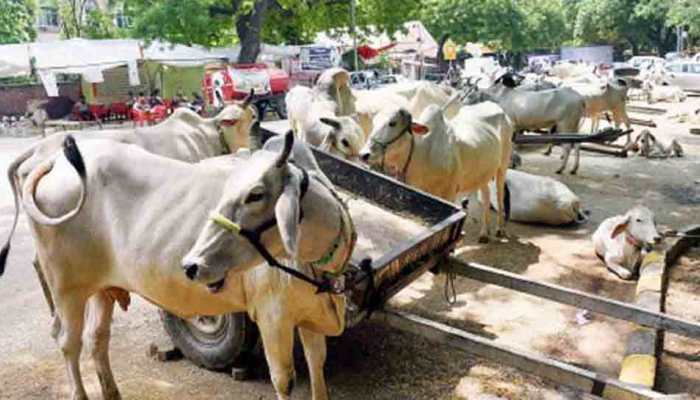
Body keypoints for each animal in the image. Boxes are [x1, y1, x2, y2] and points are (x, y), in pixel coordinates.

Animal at [0, 132, 353, 400]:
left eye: (255, 194)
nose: (192, 264)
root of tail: (54, 159)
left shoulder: (310, 317)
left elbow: (317, 367)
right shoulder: (273, 317)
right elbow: (284, 380)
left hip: (101, 288)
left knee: (96, 338)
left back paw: (112, 392)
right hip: (66, 287)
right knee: (66, 341)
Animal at [360, 103, 513, 243]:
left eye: (393, 123)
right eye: (374, 122)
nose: (364, 154)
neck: (421, 153)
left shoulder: (449, 193)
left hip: (503, 165)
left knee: (500, 195)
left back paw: (500, 229)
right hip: (483, 174)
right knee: (486, 196)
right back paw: (484, 233)